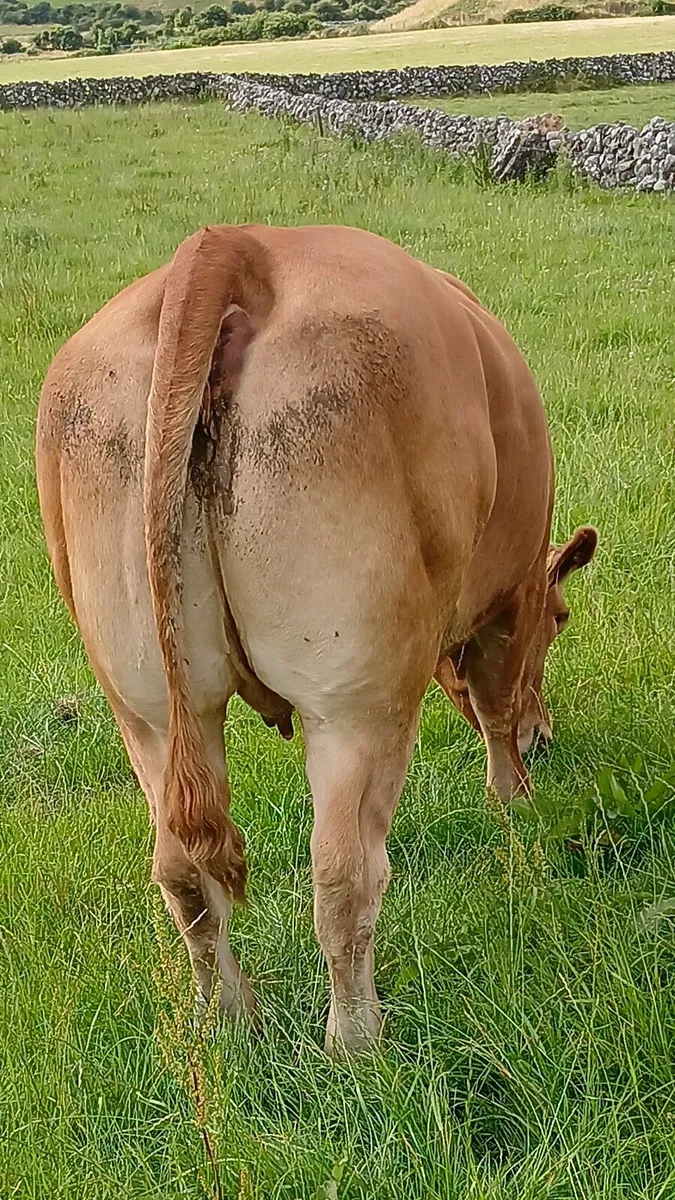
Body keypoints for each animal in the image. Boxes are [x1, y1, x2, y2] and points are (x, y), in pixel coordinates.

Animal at [36, 224, 597, 1055]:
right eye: (561, 620)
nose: (548, 736)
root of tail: (237, 246)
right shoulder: (512, 599)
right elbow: (496, 711)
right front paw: (515, 801)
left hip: (146, 704)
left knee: (182, 868)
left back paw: (228, 1025)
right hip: (355, 695)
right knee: (342, 870)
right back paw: (357, 1044)